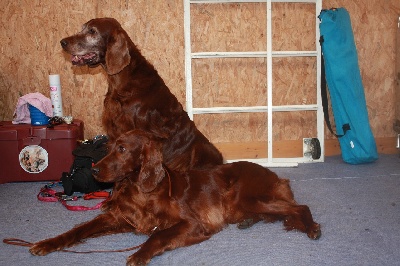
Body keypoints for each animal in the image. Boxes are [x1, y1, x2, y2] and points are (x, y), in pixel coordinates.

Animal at [29, 129, 320, 264]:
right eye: (108, 148)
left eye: (122, 149)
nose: (95, 169)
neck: (141, 190)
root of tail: (273, 173)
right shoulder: (117, 218)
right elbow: (78, 230)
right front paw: (47, 243)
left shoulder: (192, 224)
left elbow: (158, 235)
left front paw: (140, 255)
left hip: (249, 197)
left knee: (299, 207)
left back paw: (312, 228)